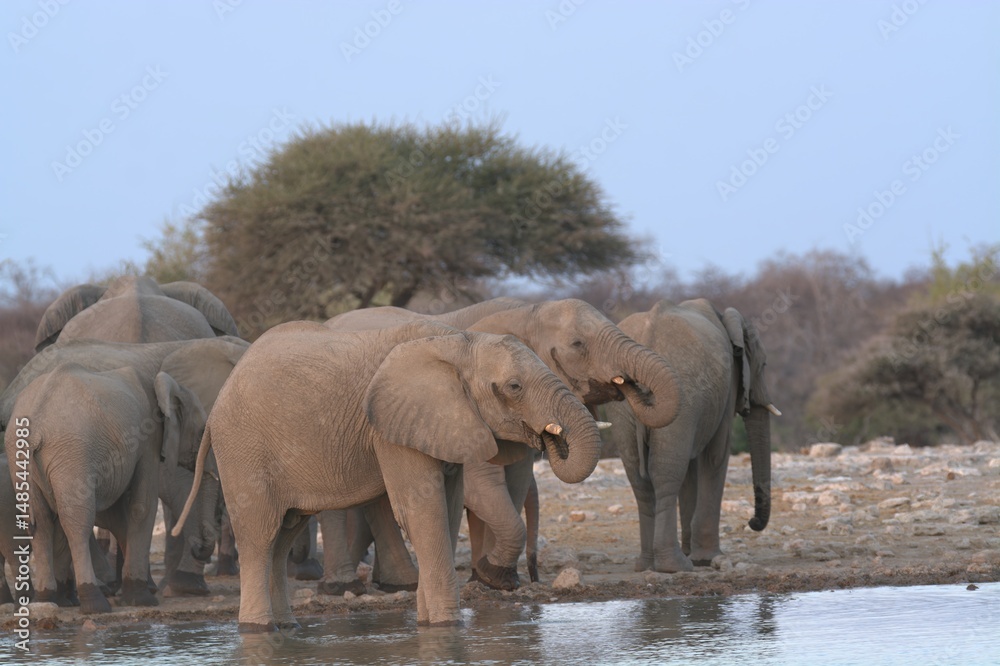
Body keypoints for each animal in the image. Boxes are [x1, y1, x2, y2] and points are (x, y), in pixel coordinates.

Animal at [4, 363, 207, 613]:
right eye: (202, 431)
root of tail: (36, 418)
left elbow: (118, 516)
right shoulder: (148, 438)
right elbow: (142, 506)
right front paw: (142, 599)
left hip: (22, 458)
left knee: (42, 524)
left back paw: (49, 601)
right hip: (72, 453)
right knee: (77, 523)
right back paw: (95, 603)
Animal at [172, 320, 603, 631]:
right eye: (513, 387)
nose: (550, 436)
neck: (458, 341)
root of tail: (218, 403)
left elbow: (445, 514)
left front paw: (429, 624)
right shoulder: (392, 427)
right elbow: (422, 513)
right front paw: (446, 626)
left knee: (283, 535)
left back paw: (286, 628)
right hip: (243, 450)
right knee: (261, 535)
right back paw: (259, 631)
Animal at [320, 297, 681, 590]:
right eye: (578, 344)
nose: (628, 383)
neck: (525, 311)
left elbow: (515, 484)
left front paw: (489, 577)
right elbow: (483, 488)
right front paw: (494, 576)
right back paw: (347, 585)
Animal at [605, 299, 780, 573]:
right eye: (763, 365)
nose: (751, 522)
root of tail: (647, 337)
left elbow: (690, 468)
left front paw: (694, 554)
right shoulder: (727, 388)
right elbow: (715, 456)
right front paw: (706, 559)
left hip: (623, 407)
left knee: (641, 479)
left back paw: (647, 565)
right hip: (681, 397)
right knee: (666, 474)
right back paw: (674, 565)